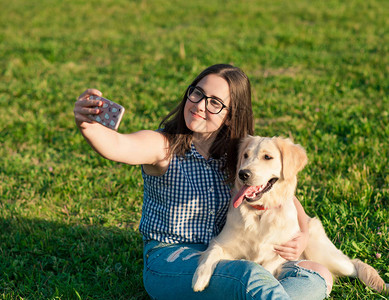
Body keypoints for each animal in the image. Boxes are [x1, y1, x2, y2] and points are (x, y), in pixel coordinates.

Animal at [192, 136, 386, 296]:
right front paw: (199, 278)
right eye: (245, 155)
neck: (261, 213)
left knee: (354, 263)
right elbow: (211, 253)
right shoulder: (221, 241)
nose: (243, 173)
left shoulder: (282, 251)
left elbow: (266, 267)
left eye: (267, 157)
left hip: (322, 252)